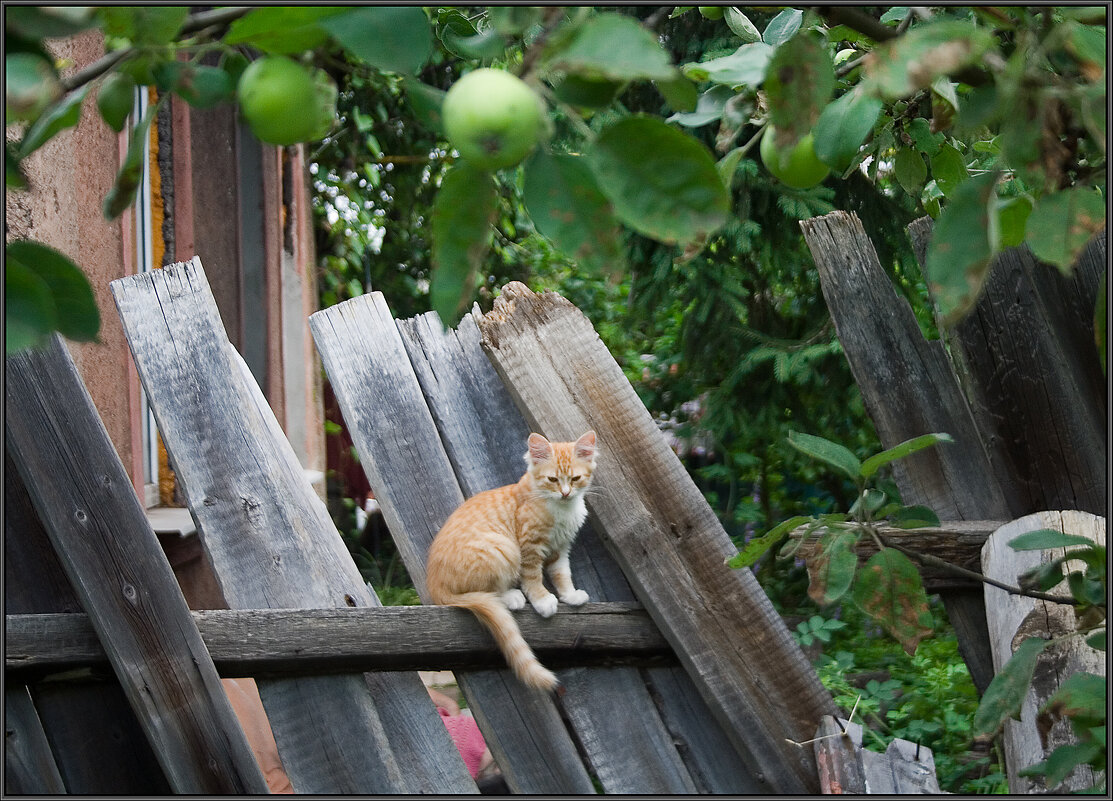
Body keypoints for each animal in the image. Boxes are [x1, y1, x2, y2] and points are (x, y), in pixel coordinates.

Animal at [427, 431, 601, 689]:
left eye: (575, 478)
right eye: (552, 479)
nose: (565, 493)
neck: (562, 509)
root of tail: (434, 585)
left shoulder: (560, 548)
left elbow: (562, 574)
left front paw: (570, 595)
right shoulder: (529, 545)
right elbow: (533, 576)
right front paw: (542, 600)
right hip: (503, 547)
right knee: (488, 592)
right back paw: (512, 597)